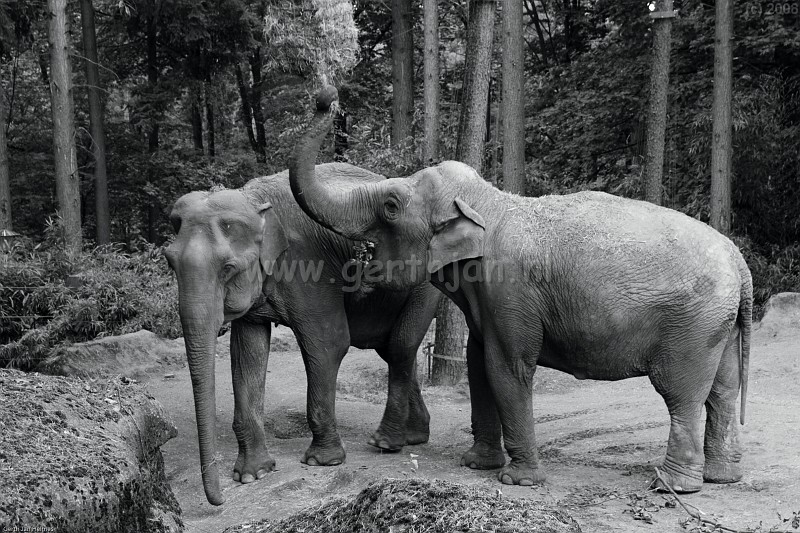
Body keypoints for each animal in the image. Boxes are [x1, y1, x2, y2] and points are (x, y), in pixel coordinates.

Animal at [162, 162, 438, 502]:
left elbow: (328, 343)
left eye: (228, 268)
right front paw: (252, 474)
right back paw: (413, 436)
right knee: (394, 349)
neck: (254, 200)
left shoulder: (309, 265)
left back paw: (389, 442)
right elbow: (247, 352)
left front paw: (322, 461)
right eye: (170, 263)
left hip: (425, 282)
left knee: (400, 345)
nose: (221, 499)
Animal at [288, 86, 752, 490]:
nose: (326, 97)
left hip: (692, 325)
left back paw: (673, 486)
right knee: (723, 391)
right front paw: (478, 464)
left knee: (682, 394)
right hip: (720, 325)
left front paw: (517, 480)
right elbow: (477, 362)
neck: (488, 202)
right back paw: (722, 477)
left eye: (389, 206)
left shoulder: (509, 289)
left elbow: (506, 366)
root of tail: (739, 260)